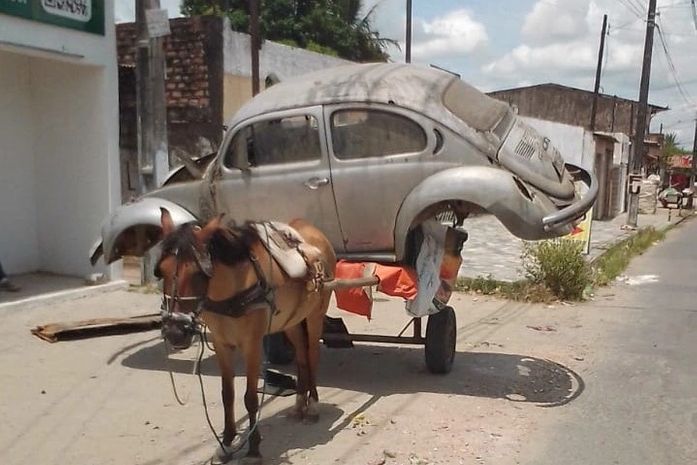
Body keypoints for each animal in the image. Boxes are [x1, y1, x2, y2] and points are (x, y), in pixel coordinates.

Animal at [154, 208, 338, 462]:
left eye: (198, 273)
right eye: (162, 271)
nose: (175, 332)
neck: (231, 291)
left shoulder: (251, 345)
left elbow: (250, 398)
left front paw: (253, 448)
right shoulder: (222, 343)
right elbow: (227, 395)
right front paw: (226, 444)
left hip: (315, 316)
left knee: (312, 355)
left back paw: (312, 407)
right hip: (291, 320)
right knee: (301, 355)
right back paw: (299, 404)